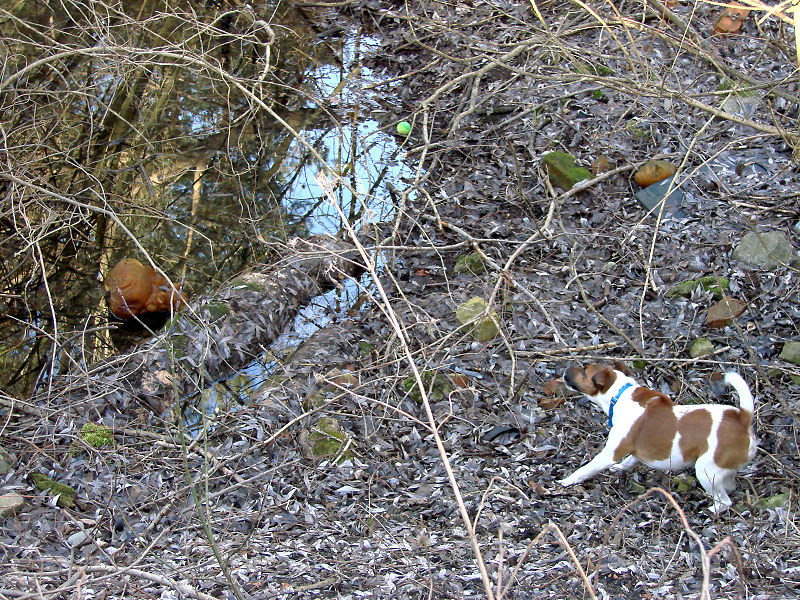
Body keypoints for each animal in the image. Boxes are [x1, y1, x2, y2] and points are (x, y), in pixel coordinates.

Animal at [556, 360, 756, 510]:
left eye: (584, 371)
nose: (564, 370)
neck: (620, 395)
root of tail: (743, 419)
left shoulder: (609, 453)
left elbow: (585, 470)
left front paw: (567, 481)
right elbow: (630, 460)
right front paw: (621, 467)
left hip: (706, 470)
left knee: (724, 501)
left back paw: (711, 509)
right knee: (729, 486)